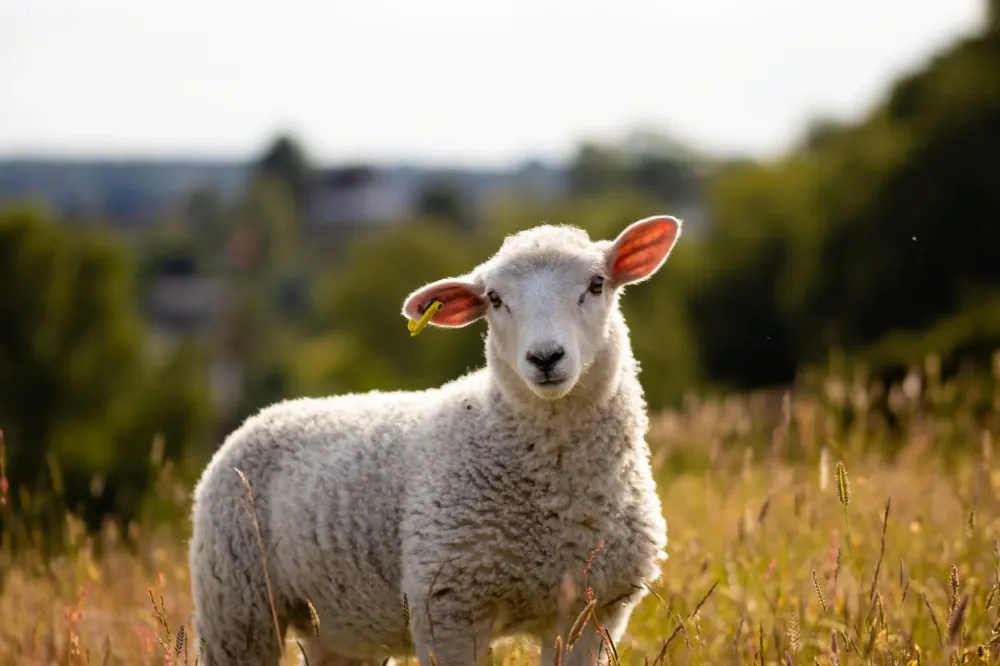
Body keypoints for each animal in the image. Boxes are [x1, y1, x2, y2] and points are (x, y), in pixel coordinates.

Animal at [188, 214, 683, 666]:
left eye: (596, 284)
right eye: (495, 299)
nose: (545, 358)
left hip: (337, 626)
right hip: (237, 610)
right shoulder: (447, 608)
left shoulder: (591, 612)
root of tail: (263, 415)